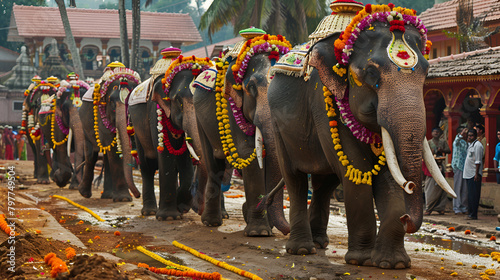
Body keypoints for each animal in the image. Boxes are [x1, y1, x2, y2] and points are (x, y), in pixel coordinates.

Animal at [78, 62, 142, 200]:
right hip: (85, 127)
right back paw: (84, 193)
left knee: (106, 156)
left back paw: (107, 195)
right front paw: (123, 198)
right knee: (91, 154)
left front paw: (121, 197)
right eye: (111, 103)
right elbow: (114, 148)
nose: (138, 195)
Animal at [127, 47, 211, 219]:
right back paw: (150, 211)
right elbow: (167, 154)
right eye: (178, 100)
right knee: (147, 166)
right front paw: (169, 216)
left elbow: (185, 160)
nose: (198, 210)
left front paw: (182, 207)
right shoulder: (155, 110)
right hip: (137, 129)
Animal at [190, 29, 292, 236]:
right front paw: (259, 233)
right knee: (214, 165)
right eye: (251, 88)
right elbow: (248, 152)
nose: (288, 231)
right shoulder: (231, 105)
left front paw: (262, 225)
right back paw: (211, 222)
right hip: (200, 121)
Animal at [268, 2, 456, 270]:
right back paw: (302, 249)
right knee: (295, 179)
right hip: (276, 126)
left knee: (324, 183)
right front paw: (361, 260)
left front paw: (393, 264)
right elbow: (356, 170)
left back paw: (320, 243)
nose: (406, 216)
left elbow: (387, 174)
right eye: (371, 73)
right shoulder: (323, 103)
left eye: (427, 72)